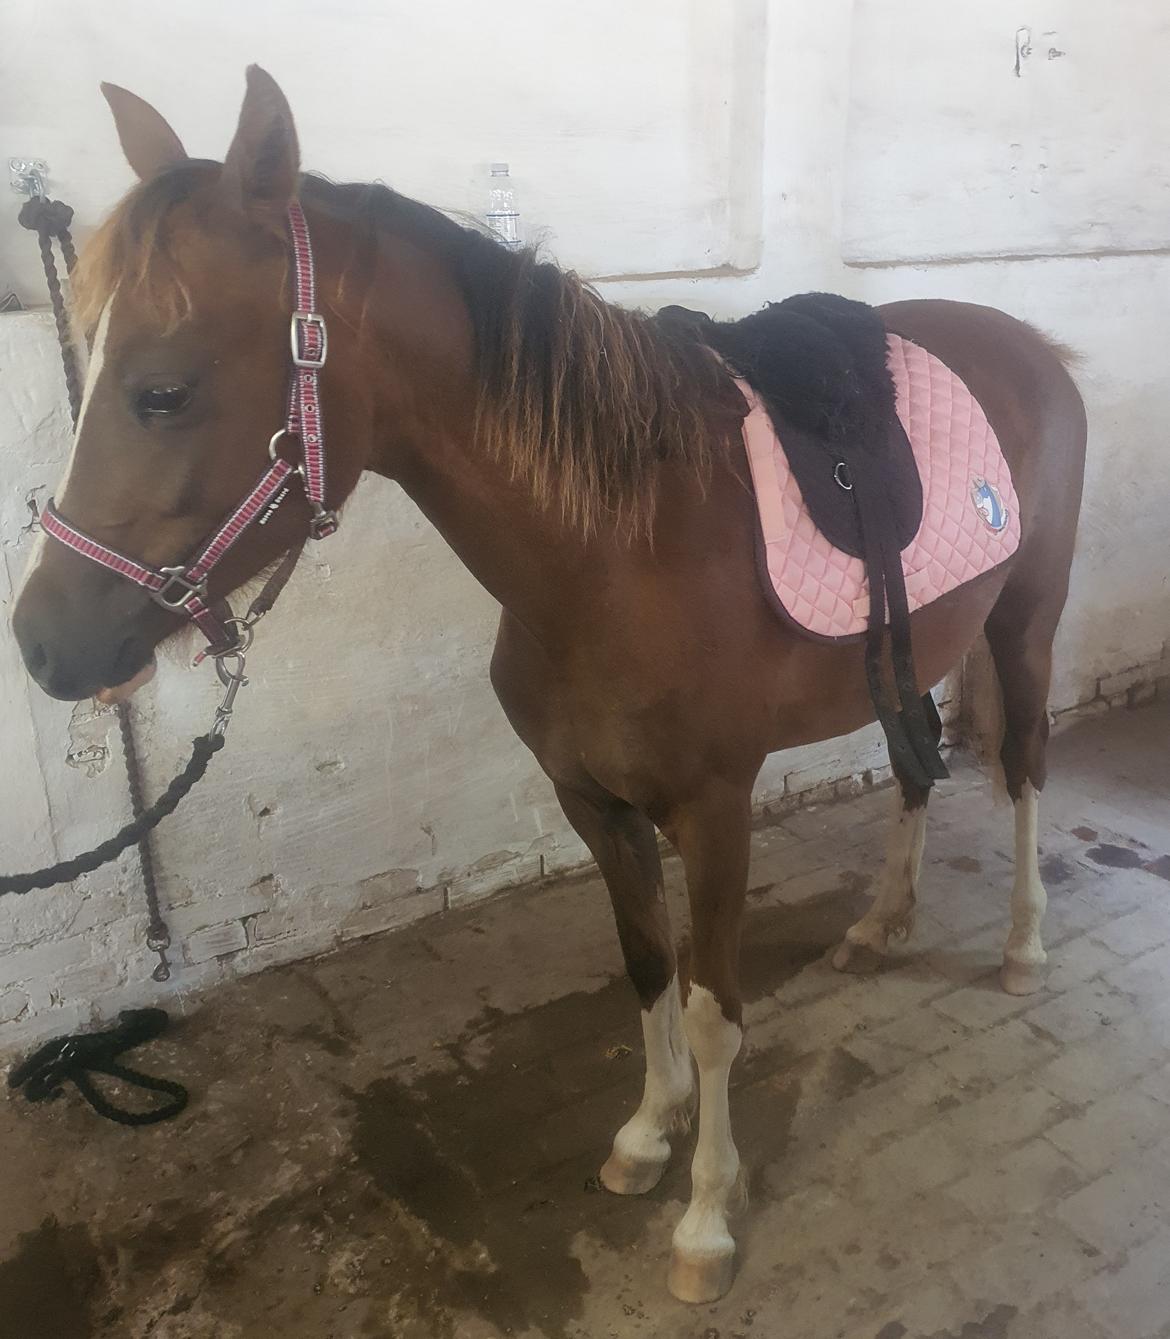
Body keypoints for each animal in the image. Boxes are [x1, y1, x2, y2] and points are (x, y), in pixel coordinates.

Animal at [11, 68, 1086, 1303]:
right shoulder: (591, 802)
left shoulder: (713, 813)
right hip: (915, 646)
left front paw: (706, 1216)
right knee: (918, 765)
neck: (623, 548)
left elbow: (714, 1012)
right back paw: (879, 923)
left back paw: (1023, 947)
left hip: (1024, 622)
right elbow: (646, 968)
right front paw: (648, 1136)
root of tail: (1029, 343)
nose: (41, 642)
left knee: (1025, 765)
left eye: (163, 390)